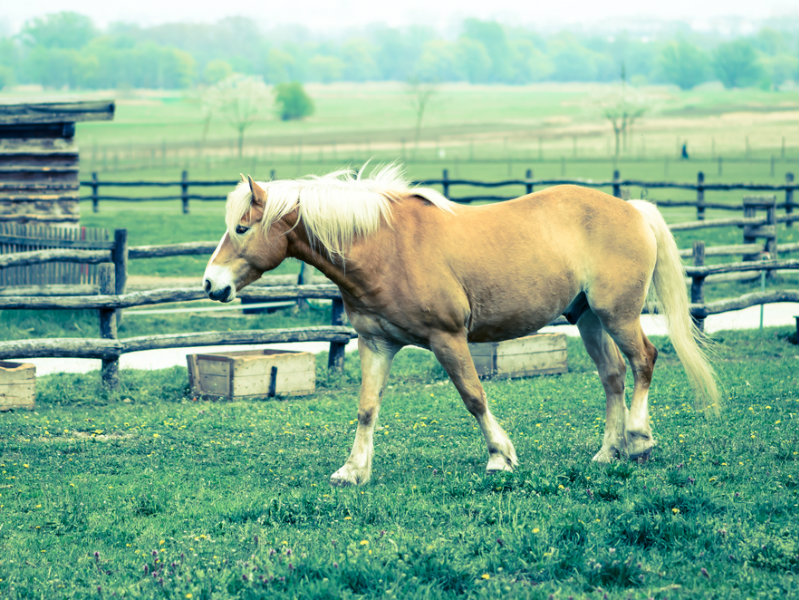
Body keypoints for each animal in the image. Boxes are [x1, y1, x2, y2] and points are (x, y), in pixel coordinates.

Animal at [203, 165, 720, 488]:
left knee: (644, 361)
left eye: (242, 228)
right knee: (613, 377)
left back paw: (639, 440)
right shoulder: (376, 344)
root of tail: (633, 209)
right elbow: (367, 408)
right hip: (588, 318)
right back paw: (609, 451)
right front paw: (353, 470)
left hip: (618, 315)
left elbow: (474, 396)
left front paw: (500, 457)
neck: (384, 246)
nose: (211, 283)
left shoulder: (447, 339)